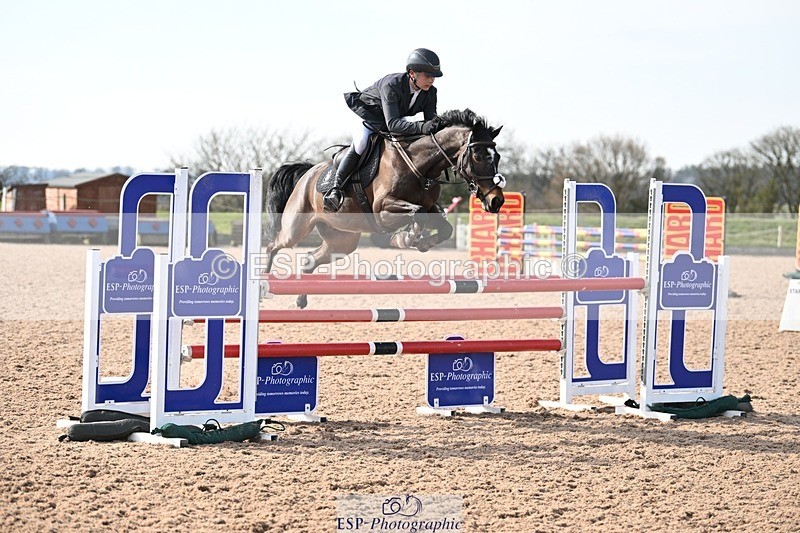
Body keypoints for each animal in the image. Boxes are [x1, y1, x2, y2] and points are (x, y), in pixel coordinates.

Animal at [262, 108, 506, 308]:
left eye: (497, 156)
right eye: (478, 156)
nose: (496, 201)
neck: (419, 166)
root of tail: (307, 173)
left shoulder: (432, 209)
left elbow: (445, 228)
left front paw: (421, 242)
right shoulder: (383, 211)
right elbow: (417, 214)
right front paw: (404, 239)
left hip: (342, 239)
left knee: (310, 260)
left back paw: (300, 299)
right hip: (296, 227)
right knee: (274, 244)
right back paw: (263, 283)